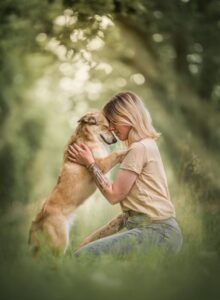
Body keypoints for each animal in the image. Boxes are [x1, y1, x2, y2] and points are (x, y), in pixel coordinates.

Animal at [28, 111, 126, 256]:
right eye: (106, 127)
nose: (115, 140)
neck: (87, 137)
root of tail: (39, 217)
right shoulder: (101, 164)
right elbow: (116, 153)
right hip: (60, 243)